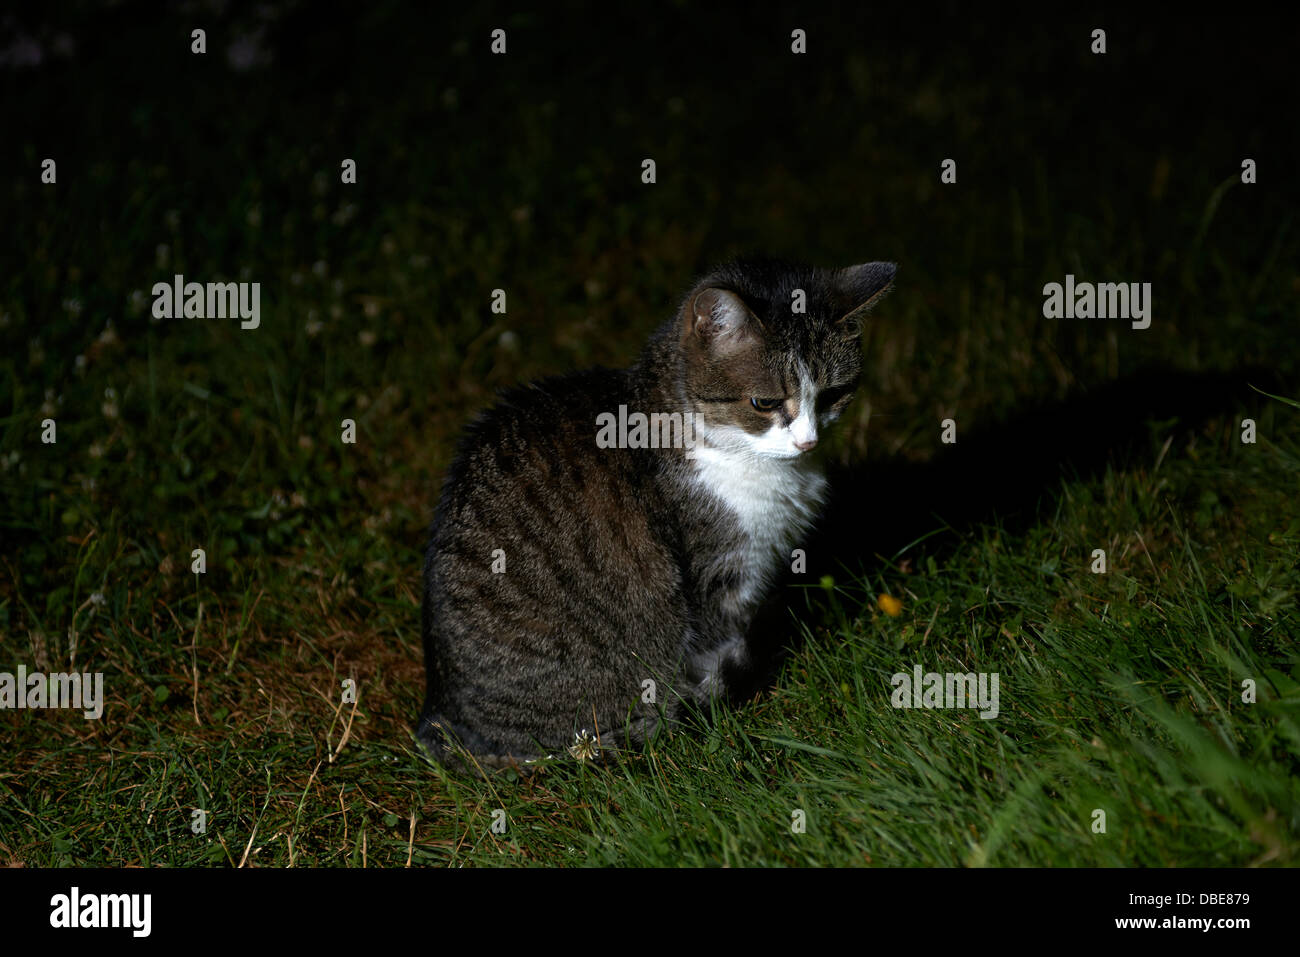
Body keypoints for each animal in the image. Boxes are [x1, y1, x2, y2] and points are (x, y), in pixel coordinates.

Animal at [416, 257, 894, 764]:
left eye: (832, 395)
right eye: (764, 403)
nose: (808, 442)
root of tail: (442, 721)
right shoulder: (719, 575)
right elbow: (718, 646)